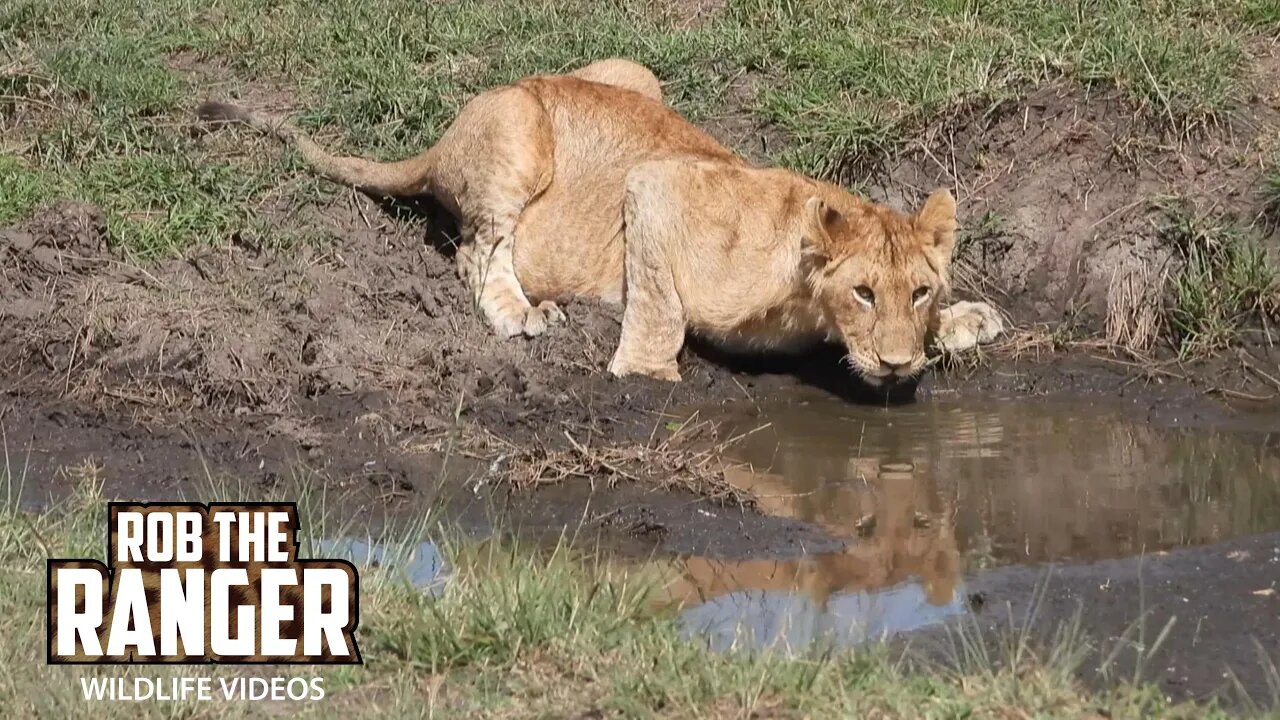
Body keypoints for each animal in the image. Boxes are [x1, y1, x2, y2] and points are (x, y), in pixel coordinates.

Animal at [197, 58, 1002, 386]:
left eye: (918, 292)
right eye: (863, 292)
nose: (896, 366)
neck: (807, 302)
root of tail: (449, 131)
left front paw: (966, 321)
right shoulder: (655, 185)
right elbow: (659, 302)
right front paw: (648, 369)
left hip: (635, 74)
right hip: (520, 130)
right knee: (475, 253)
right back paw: (521, 313)